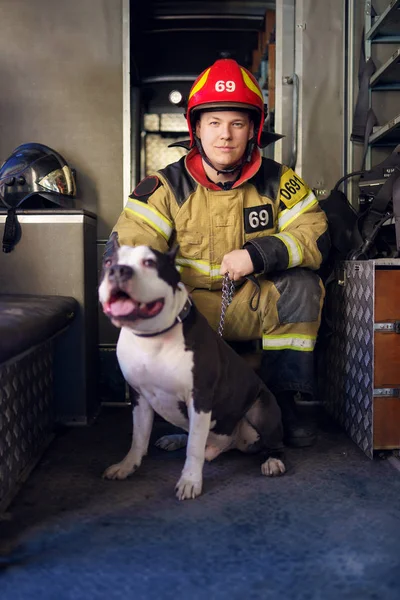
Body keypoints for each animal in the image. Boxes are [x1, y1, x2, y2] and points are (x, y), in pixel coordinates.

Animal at [101, 234, 286, 502]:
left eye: (149, 262)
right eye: (108, 262)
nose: (118, 270)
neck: (152, 337)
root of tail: (234, 441)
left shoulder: (200, 399)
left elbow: (194, 447)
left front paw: (190, 481)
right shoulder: (139, 397)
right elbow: (138, 437)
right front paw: (127, 466)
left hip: (261, 407)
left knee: (272, 441)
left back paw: (273, 460)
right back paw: (178, 439)